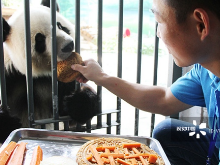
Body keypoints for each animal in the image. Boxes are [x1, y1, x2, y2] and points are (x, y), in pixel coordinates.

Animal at [0, 0, 99, 142]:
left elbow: (72, 119)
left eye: (60, 26)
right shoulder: (10, 78)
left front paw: (79, 103)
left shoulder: (56, 82)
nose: (69, 45)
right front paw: (6, 121)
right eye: (39, 39)